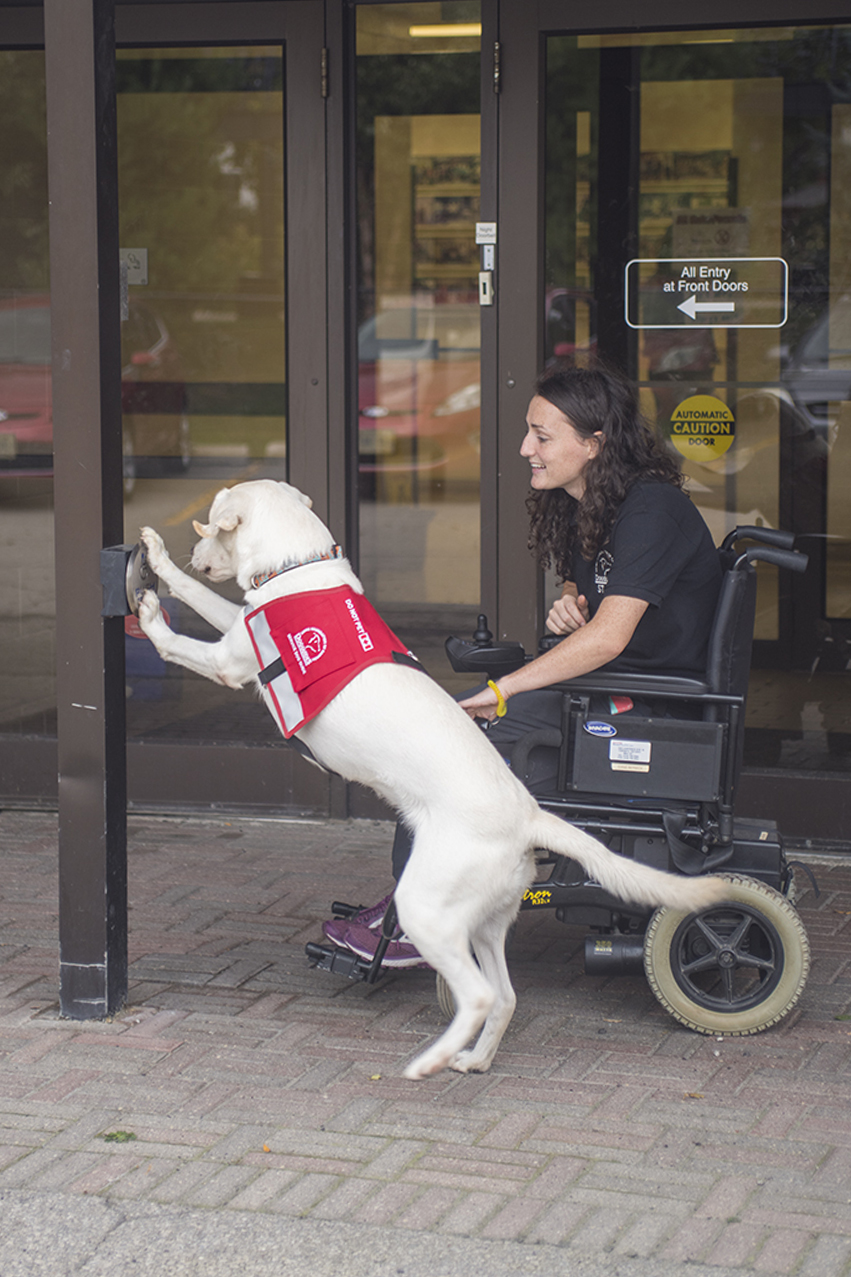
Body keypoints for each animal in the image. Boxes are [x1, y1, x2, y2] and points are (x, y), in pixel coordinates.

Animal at [137, 480, 720, 1077]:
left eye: (211, 525)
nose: (196, 553)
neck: (296, 569)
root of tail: (531, 815)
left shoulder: (229, 661)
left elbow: (176, 642)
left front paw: (151, 611)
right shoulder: (239, 626)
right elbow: (200, 597)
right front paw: (158, 560)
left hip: (425, 907)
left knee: (479, 995)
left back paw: (430, 1061)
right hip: (485, 920)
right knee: (504, 996)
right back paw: (473, 1061)